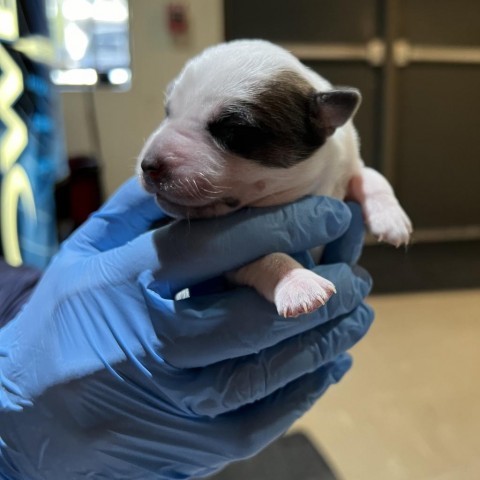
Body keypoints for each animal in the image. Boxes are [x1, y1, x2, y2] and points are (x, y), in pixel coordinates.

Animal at [136, 39, 412, 316]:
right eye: (168, 112)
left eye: (234, 132)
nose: (148, 165)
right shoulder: (227, 256)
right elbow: (264, 255)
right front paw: (298, 283)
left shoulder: (345, 167)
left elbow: (371, 175)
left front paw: (391, 218)